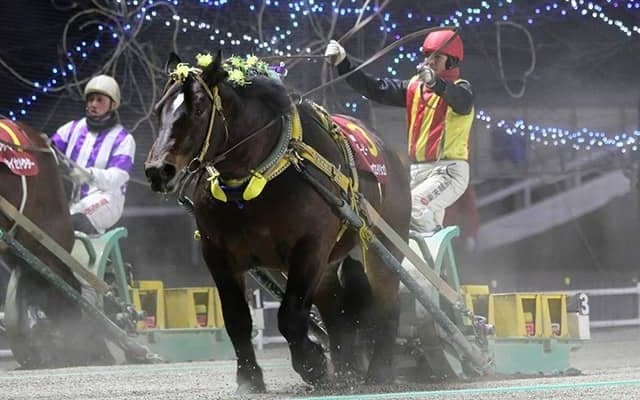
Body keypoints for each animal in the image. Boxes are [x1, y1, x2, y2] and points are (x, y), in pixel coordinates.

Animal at [145, 51, 411, 393]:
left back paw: (379, 372)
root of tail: (390, 153)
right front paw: (249, 378)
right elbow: (237, 318)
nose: (158, 170)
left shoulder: (310, 247)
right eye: (159, 110)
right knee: (334, 307)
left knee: (387, 302)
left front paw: (312, 364)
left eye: (200, 107)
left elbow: (291, 315)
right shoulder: (216, 253)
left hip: (382, 244)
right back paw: (347, 368)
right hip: (327, 264)